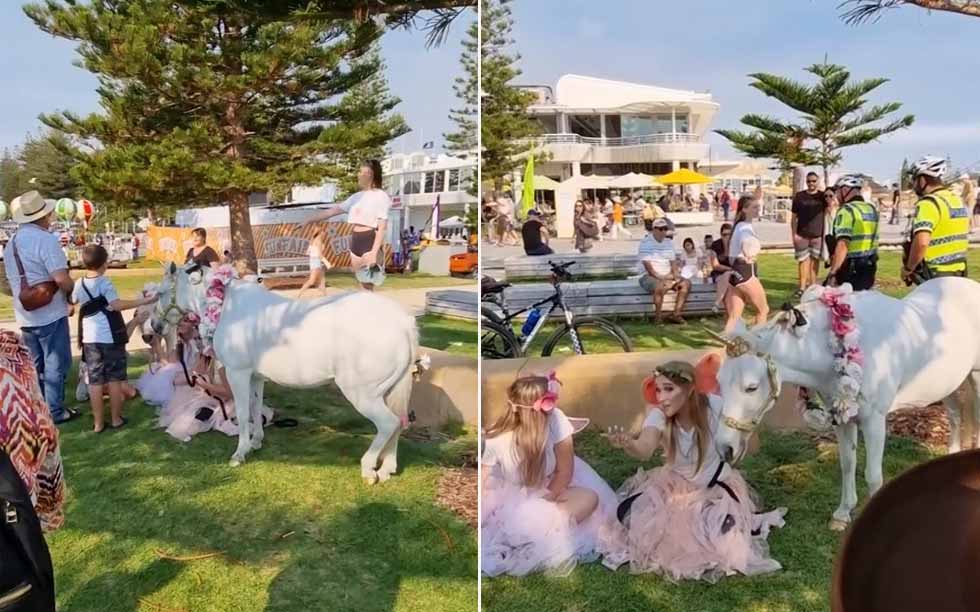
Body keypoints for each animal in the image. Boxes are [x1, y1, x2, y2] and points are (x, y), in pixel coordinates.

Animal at [154, 262, 420, 482]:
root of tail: (402, 323)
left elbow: (242, 413)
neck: (228, 308)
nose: (155, 327)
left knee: (388, 423)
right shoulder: (255, 376)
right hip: (388, 390)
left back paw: (368, 469)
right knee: (398, 423)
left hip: (363, 393)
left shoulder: (237, 373)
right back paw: (386, 469)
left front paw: (240, 453)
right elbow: (255, 408)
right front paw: (256, 442)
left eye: (160, 293)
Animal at [710, 278, 980, 530]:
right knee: (955, 416)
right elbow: (848, 464)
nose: (725, 448)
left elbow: (873, 476)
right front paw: (842, 514)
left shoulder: (874, 421)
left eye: (751, 387)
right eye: (719, 381)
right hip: (949, 382)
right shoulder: (842, 417)